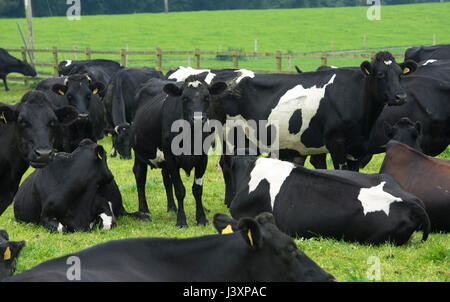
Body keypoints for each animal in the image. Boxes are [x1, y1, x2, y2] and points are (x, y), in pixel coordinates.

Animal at [132, 75, 227, 226]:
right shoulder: (170, 157)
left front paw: (201, 218)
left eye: (207, 97)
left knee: (166, 178)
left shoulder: (203, 158)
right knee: (140, 176)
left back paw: (172, 208)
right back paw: (144, 210)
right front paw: (181, 220)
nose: (198, 119)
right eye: (184, 98)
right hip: (139, 153)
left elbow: (197, 189)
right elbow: (180, 190)